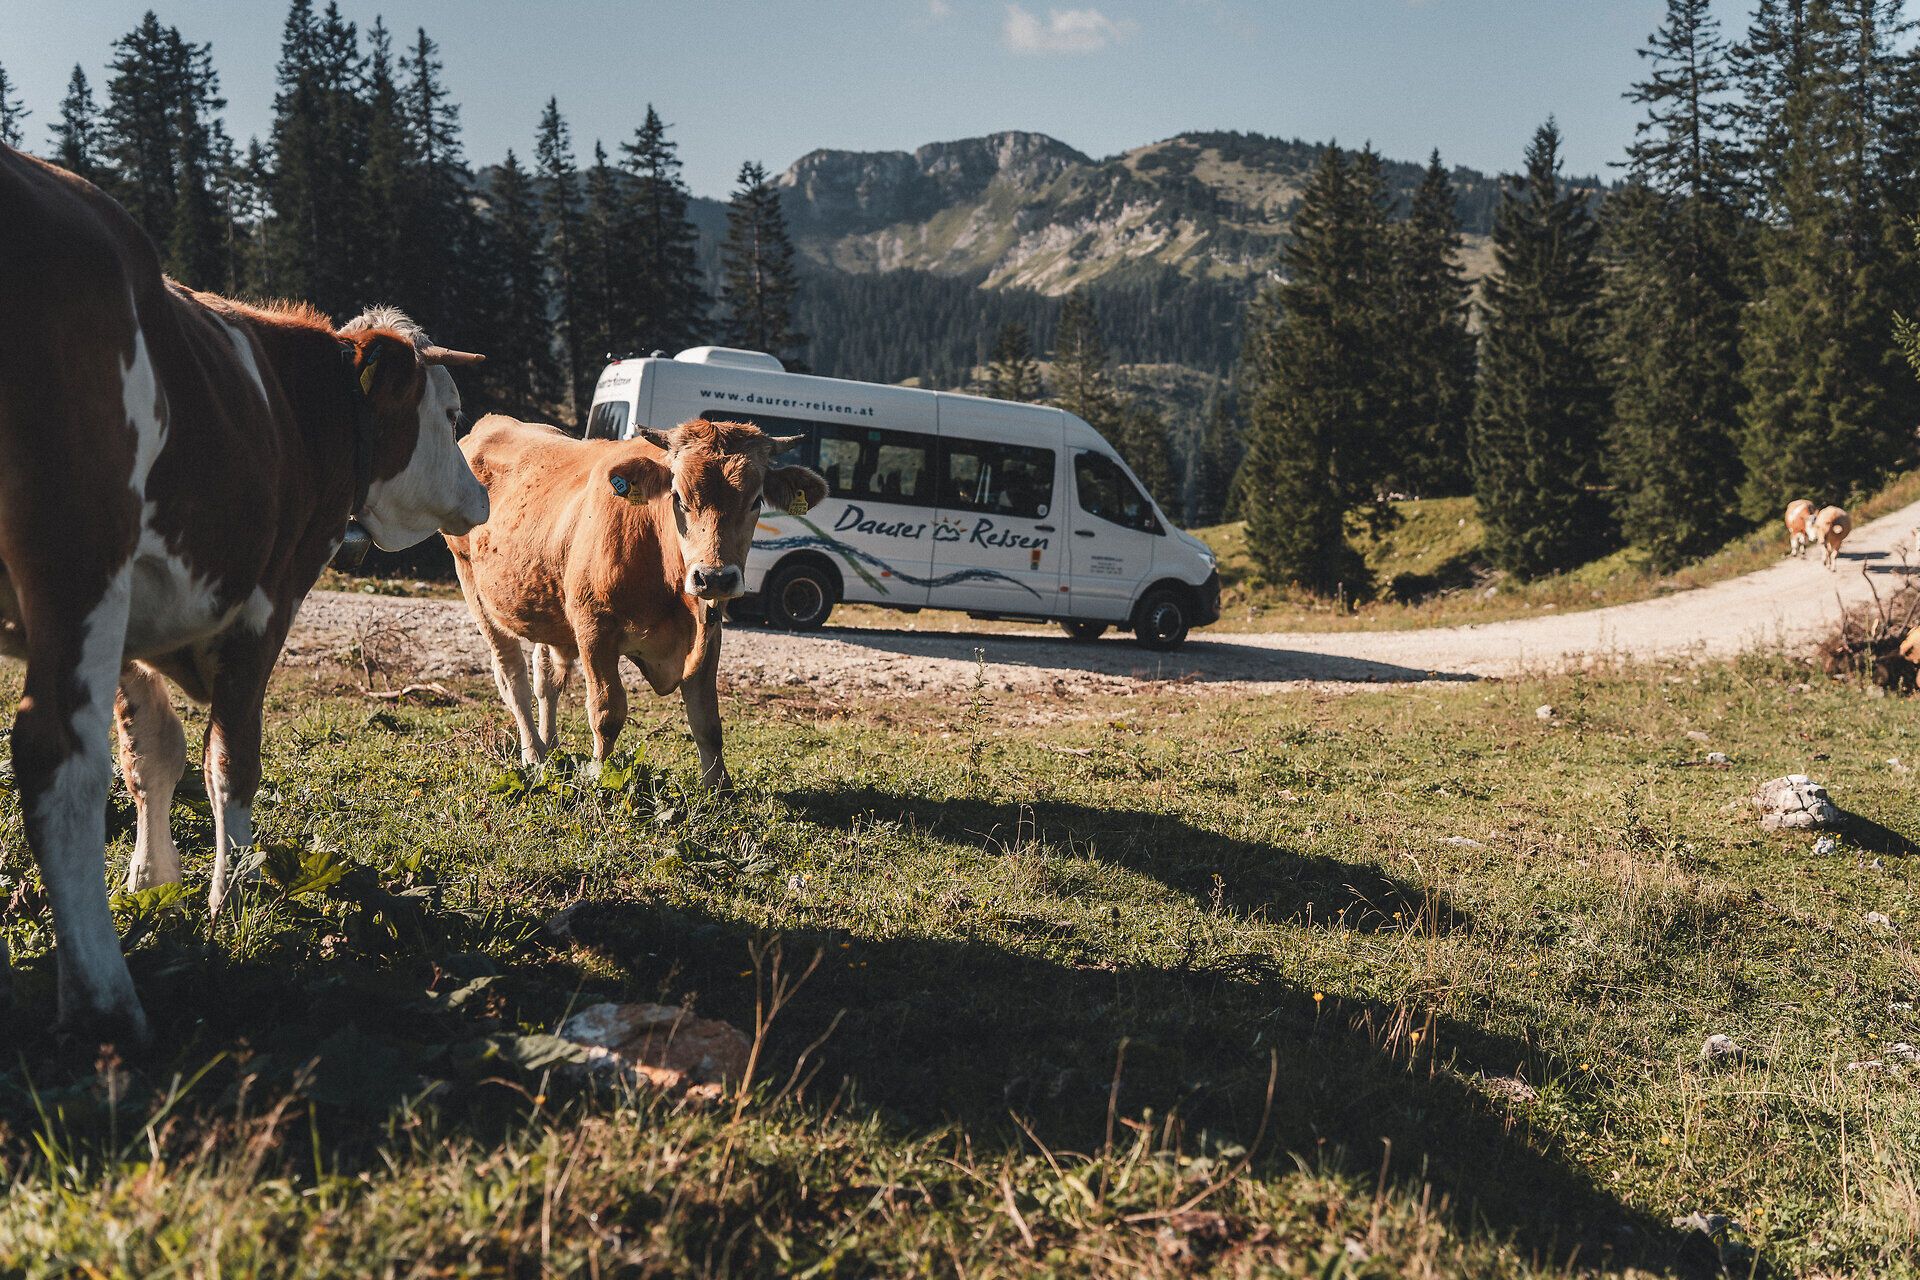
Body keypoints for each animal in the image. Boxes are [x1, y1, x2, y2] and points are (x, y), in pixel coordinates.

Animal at [0, 145, 489, 1043]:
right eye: (448, 412)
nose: (482, 499)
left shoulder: (139, 618)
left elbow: (153, 753)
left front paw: (152, 881)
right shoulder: (263, 603)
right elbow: (232, 758)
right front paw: (233, 892)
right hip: (77, 547)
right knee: (59, 757)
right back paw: (105, 1002)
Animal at [445, 415, 826, 787]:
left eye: (756, 500)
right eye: (677, 496)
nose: (715, 577)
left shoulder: (709, 632)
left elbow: (707, 720)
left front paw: (719, 789)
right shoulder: (594, 629)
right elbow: (607, 712)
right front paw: (600, 776)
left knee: (546, 680)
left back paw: (551, 751)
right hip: (473, 587)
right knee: (512, 677)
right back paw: (535, 755)